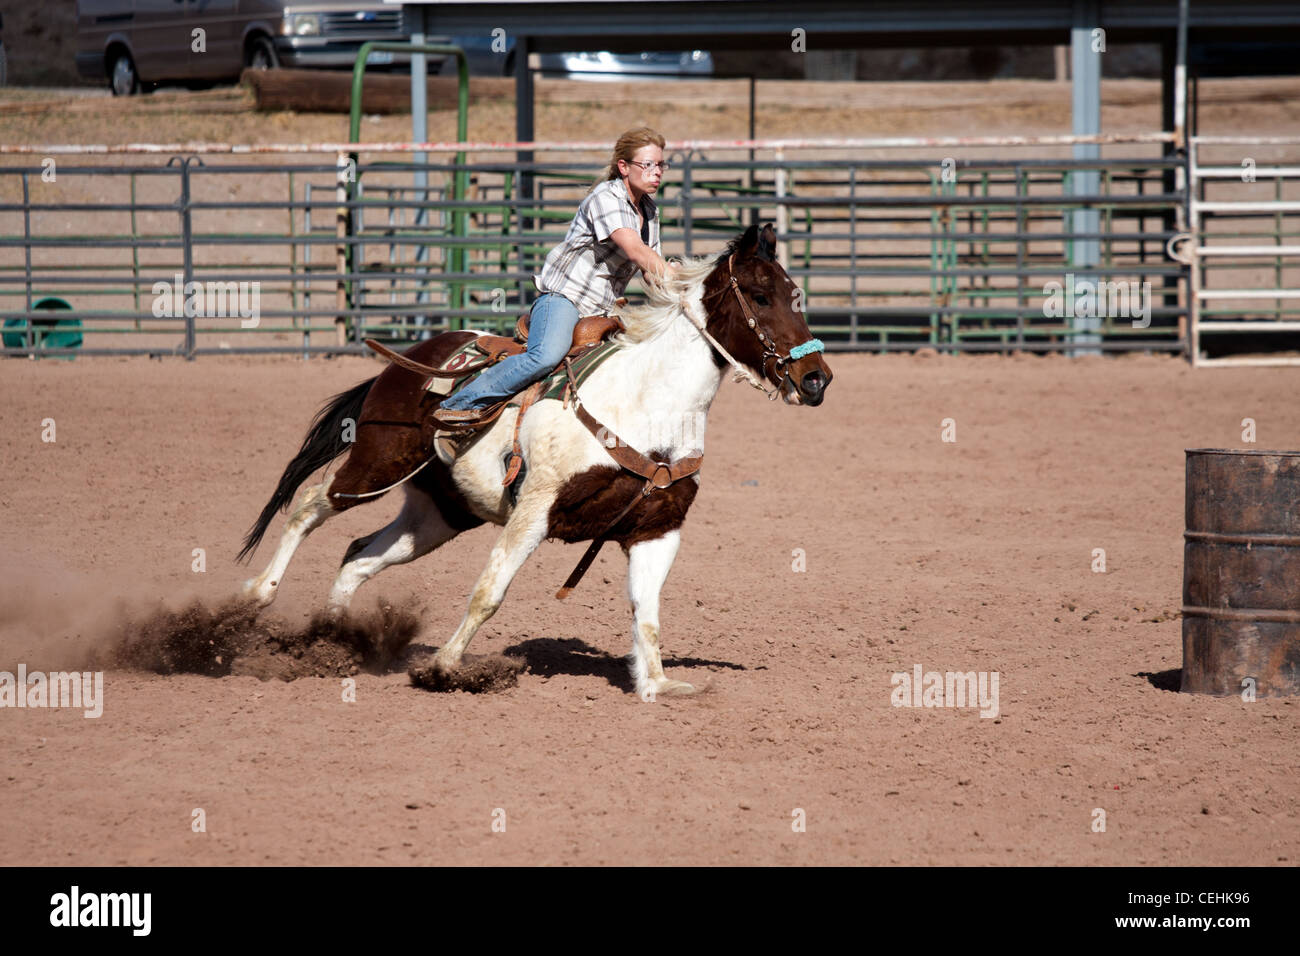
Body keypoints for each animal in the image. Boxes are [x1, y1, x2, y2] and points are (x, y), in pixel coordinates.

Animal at [240, 227, 832, 697]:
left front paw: (658, 684)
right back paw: (255, 597)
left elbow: (647, 612)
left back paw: (330, 641)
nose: (816, 380)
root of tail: (407, 360)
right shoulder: (535, 509)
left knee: (359, 556)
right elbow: (489, 593)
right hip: (374, 464)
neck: (648, 402)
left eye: (796, 295)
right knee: (308, 508)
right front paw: (445, 668)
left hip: (440, 513)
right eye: (761, 295)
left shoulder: (657, 529)